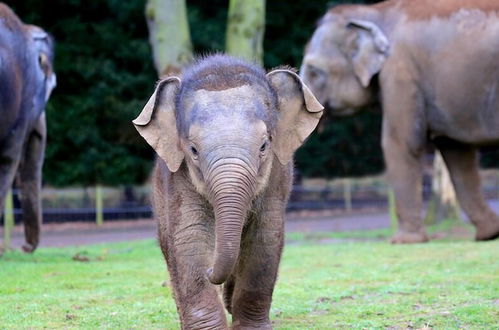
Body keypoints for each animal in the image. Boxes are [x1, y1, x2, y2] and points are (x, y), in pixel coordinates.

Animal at [134, 55, 324, 328]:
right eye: (193, 150)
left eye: (264, 146)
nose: (210, 272)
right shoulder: (177, 178)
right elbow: (189, 236)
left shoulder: (276, 178)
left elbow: (265, 237)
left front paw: (251, 327)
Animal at [298, 0, 499, 242]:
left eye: (315, 72)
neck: (373, 13)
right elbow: (456, 151)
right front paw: (489, 234)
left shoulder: (399, 71)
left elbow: (399, 142)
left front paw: (404, 241)